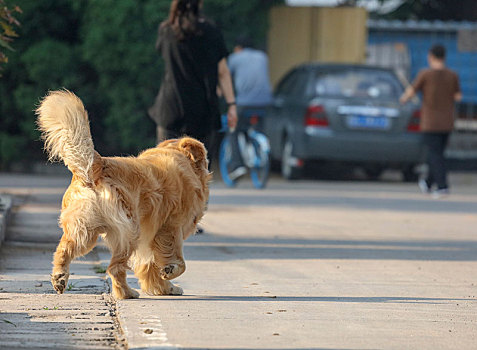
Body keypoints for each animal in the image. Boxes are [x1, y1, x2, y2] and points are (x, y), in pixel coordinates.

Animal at [35, 89, 210, 298]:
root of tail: (98, 164)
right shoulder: (170, 228)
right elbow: (178, 262)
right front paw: (169, 273)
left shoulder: (152, 237)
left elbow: (149, 266)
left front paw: (165, 288)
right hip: (129, 231)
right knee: (115, 268)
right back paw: (127, 292)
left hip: (84, 231)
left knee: (64, 249)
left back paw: (60, 278)